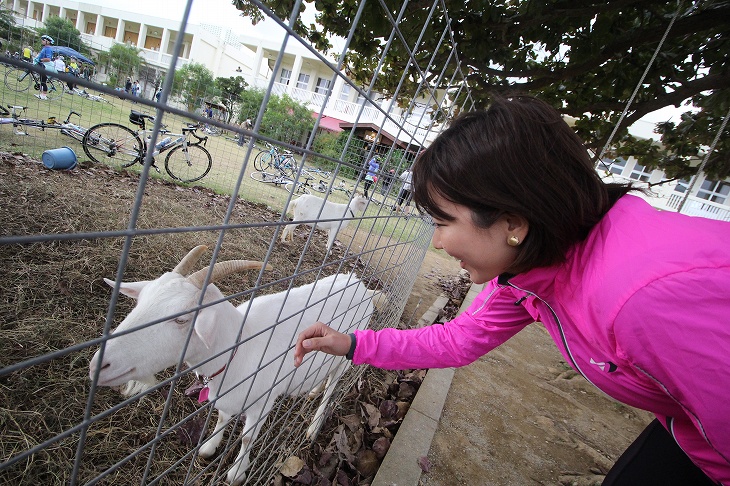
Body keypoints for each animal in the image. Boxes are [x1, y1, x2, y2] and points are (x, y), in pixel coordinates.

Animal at [90, 249, 372, 484]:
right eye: (140, 302)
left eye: (182, 319)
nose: (99, 365)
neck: (239, 348)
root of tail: (358, 282)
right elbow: (222, 417)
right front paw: (209, 447)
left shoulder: (262, 402)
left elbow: (247, 437)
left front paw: (237, 473)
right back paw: (313, 390)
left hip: (345, 355)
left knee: (333, 386)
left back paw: (313, 427)